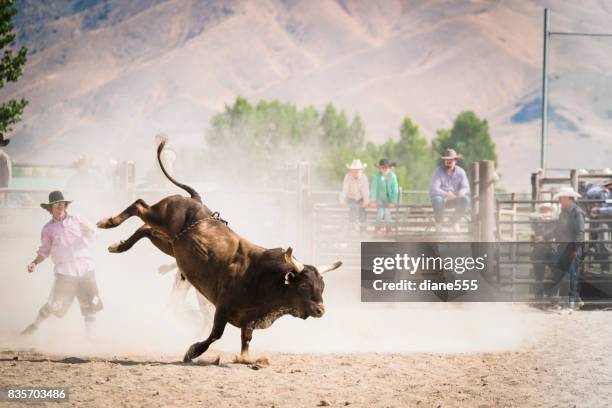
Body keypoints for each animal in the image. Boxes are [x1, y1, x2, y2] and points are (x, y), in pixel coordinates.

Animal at [98, 139, 342, 362]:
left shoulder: (248, 319)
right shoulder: (223, 307)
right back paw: (108, 222)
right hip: (160, 217)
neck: (265, 278)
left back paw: (119, 246)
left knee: (145, 229)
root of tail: (196, 201)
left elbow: (246, 339)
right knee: (139, 205)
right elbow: (215, 334)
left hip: (168, 242)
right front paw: (193, 351)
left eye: (322, 286)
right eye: (304, 285)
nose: (321, 310)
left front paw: (246, 358)